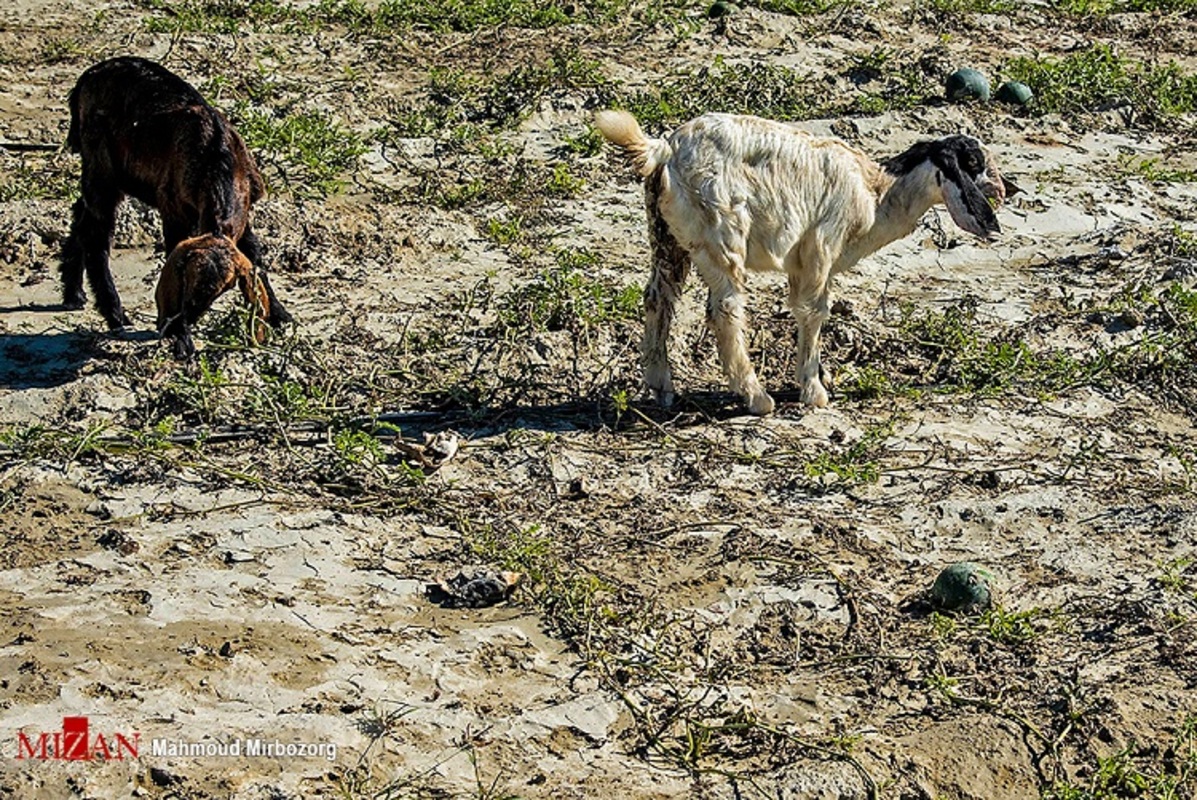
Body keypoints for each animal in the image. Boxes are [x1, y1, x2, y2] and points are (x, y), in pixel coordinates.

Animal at [62, 56, 292, 330]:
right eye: (186, 280)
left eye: (222, 289)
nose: (189, 315)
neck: (218, 159)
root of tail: (87, 77)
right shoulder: (173, 209)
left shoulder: (242, 211)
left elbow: (254, 253)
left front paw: (279, 314)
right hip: (101, 164)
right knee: (95, 235)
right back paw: (115, 314)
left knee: (81, 215)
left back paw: (73, 293)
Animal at [593, 109, 1015, 416]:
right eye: (973, 160)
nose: (1004, 189)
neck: (876, 191)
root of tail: (665, 149)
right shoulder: (820, 248)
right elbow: (813, 311)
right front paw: (814, 390)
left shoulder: (800, 264)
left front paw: (819, 378)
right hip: (721, 231)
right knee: (724, 309)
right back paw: (756, 398)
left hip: (667, 237)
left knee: (657, 299)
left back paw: (662, 388)